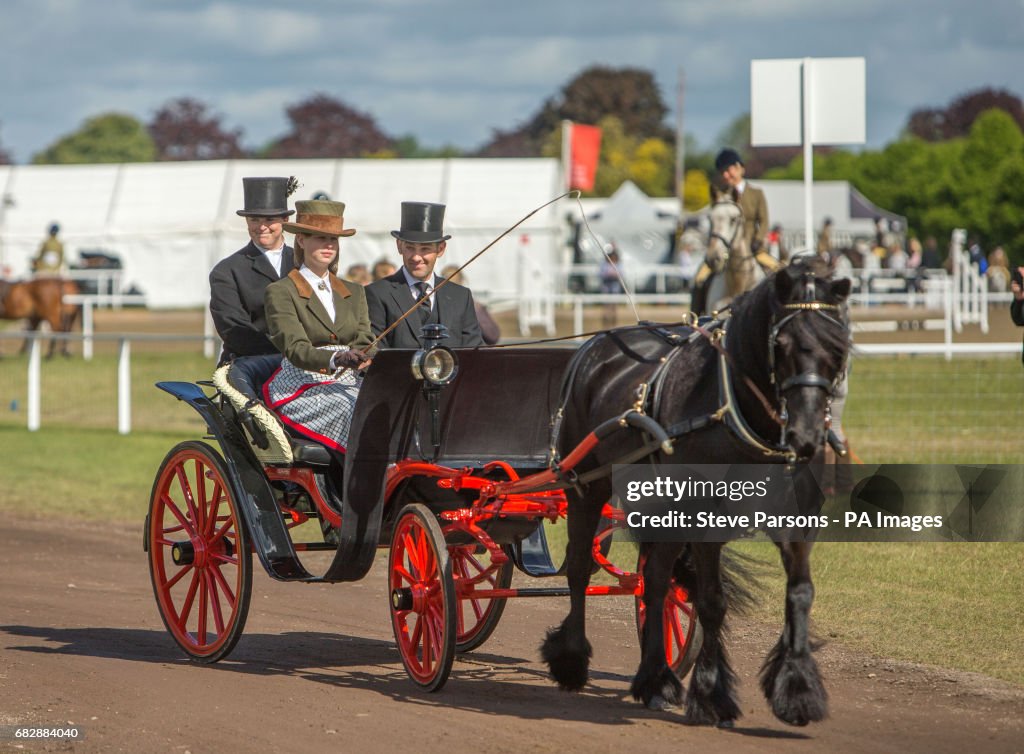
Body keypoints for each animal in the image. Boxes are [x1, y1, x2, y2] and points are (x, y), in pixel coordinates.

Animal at [540, 258, 851, 725]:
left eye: (839, 346)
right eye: (782, 343)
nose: (807, 436)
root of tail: (595, 345)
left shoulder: (797, 520)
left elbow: (799, 594)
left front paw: (797, 690)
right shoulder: (704, 514)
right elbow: (711, 601)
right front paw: (711, 693)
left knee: (654, 579)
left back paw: (655, 677)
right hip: (587, 486)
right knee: (580, 568)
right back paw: (575, 660)